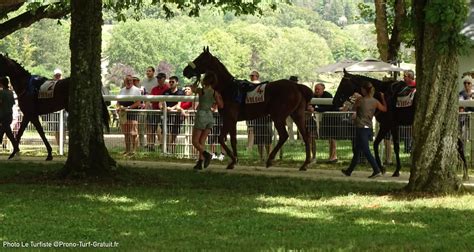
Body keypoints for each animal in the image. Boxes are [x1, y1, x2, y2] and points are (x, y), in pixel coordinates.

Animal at [182, 47, 314, 170]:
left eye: (200, 59)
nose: (185, 71)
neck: (229, 88)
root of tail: (297, 86)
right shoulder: (233, 120)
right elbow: (233, 140)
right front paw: (233, 161)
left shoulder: (229, 118)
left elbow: (221, 138)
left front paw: (233, 160)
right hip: (297, 114)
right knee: (306, 135)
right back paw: (304, 164)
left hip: (278, 116)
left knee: (284, 135)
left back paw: (270, 160)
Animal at [332, 70, 468, 179]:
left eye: (343, 84)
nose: (334, 101)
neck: (383, 94)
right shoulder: (388, 125)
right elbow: (375, 144)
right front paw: (382, 168)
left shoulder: (390, 124)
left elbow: (395, 146)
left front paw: (396, 171)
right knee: (458, 143)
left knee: (459, 143)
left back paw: (464, 171)